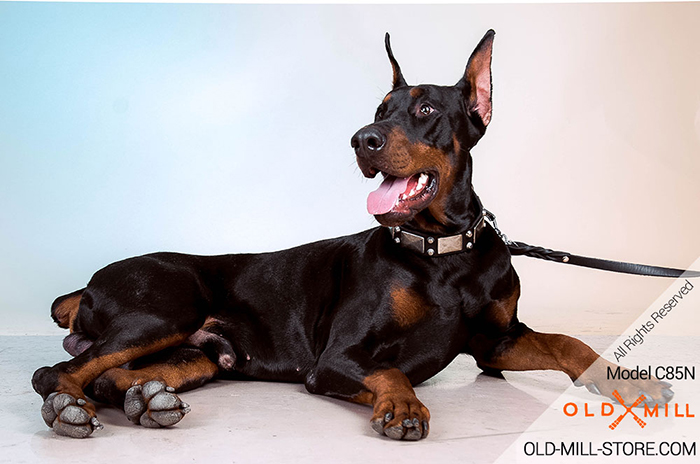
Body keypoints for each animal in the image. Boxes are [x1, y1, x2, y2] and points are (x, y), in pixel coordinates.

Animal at [31, 30, 672, 440]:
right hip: (164, 308)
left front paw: (627, 382)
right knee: (55, 374)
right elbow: (389, 370)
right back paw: (70, 410)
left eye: (424, 111)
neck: (443, 256)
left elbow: (570, 342)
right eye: (379, 109)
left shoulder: (497, 342)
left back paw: (147, 400)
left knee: (112, 374)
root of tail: (87, 283)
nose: (362, 138)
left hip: (203, 354)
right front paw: (404, 407)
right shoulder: (338, 356)